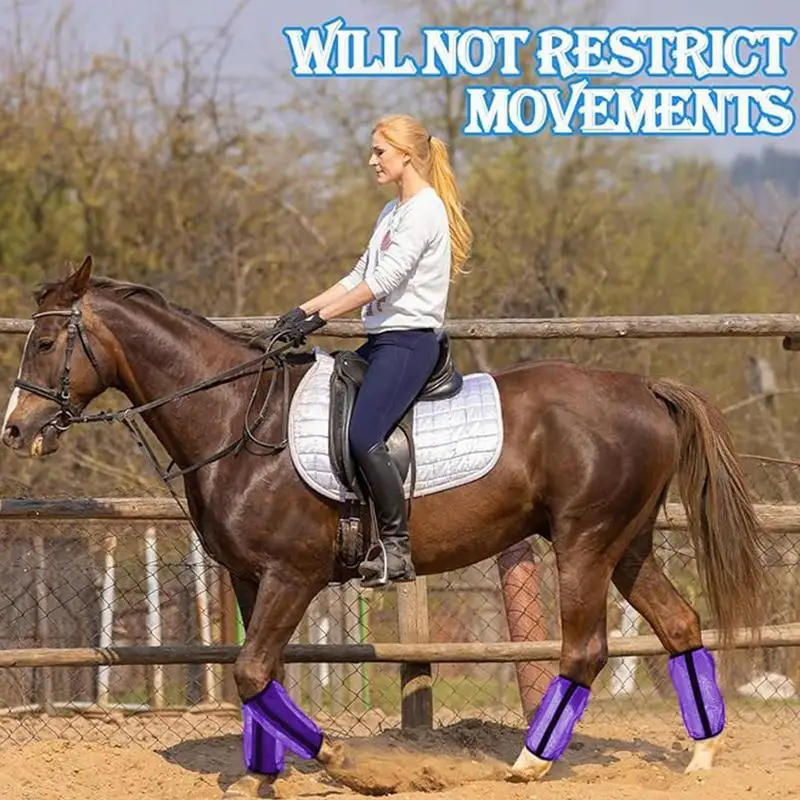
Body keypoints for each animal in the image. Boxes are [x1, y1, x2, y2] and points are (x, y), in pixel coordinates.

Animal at [3, 260, 772, 796]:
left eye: (46, 341)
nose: (14, 430)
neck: (237, 419)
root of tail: (645, 388)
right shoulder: (251, 578)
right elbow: (258, 676)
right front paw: (260, 775)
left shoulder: (293, 576)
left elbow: (250, 671)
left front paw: (343, 762)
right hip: (626, 544)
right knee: (680, 625)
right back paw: (701, 757)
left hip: (585, 542)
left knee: (585, 650)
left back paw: (528, 765)